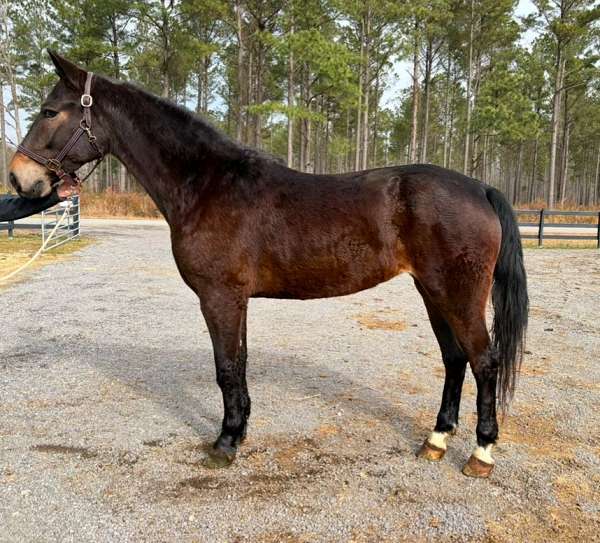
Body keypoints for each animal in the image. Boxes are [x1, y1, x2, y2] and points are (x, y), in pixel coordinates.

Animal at [8, 52, 524, 480]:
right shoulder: (236, 299)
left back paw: (480, 454)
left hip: (457, 295)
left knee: (484, 361)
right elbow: (239, 364)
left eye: (50, 111)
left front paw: (224, 443)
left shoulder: (218, 297)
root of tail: (480, 188)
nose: (18, 178)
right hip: (432, 292)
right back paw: (435, 441)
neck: (206, 185)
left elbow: (225, 368)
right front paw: (239, 431)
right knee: (455, 359)